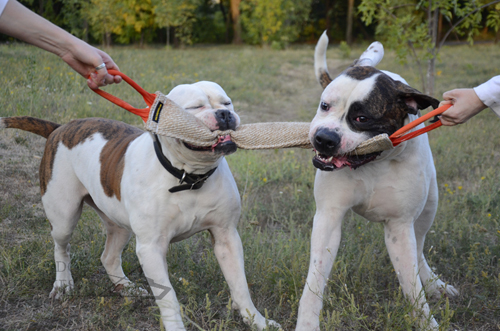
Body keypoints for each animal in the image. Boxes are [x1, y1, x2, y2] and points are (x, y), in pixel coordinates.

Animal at [0, 81, 282, 330]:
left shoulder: (227, 237)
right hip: (64, 216)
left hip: (119, 223)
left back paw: (126, 287)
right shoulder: (151, 248)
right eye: (195, 107)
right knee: (61, 248)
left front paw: (256, 321)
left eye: (227, 102)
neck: (188, 178)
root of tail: (60, 128)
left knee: (109, 256)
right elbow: (169, 299)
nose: (224, 114)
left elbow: (240, 286)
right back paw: (63, 284)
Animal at [294, 31, 458, 331]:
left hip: (430, 204)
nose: (324, 137)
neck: (374, 163)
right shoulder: (328, 217)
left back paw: (434, 284)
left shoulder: (400, 227)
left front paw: (427, 321)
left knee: (419, 249)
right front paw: (308, 323)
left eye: (362, 118)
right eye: (325, 106)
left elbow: (412, 284)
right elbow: (315, 281)